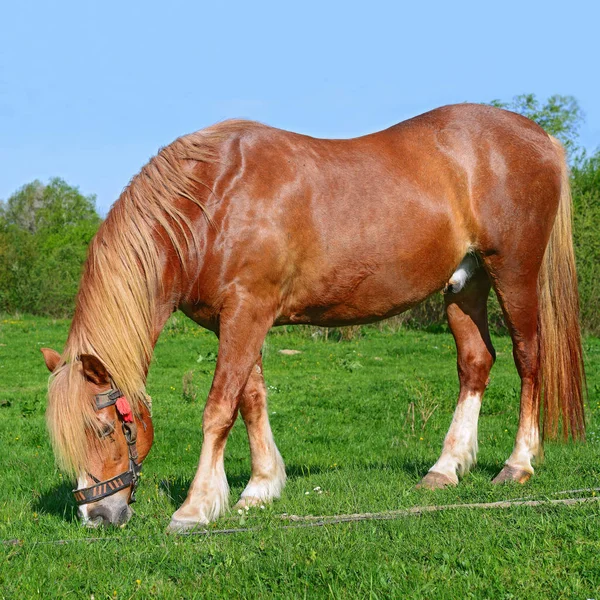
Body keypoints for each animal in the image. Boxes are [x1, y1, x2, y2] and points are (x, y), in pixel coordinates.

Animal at [42, 103, 584, 528]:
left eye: (105, 429)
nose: (96, 515)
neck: (212, 200)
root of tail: (542, 138)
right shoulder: (236, 320)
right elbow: (251, 399)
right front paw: (259, 488)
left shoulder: (247, 312)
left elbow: (218, 408)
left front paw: (195, 507)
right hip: (464, 284)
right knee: (475, 363)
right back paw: (445, 469)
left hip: (513, 274)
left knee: (528, 357)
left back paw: (517, 465)